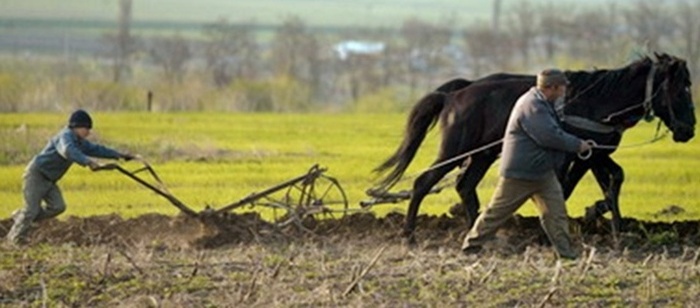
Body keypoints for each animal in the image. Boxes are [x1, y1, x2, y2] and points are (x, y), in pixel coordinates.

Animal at [372, 53, 696, 242]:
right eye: (680, 88)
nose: (689, 130)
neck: (598, 101)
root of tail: (454, 95)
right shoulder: (577, 154)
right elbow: (566, 188)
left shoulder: (595, 152)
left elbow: (613, 181)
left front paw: (612, 227)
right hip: (454, 150)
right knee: (423, 182)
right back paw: (409, 234)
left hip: (482, 154)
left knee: (465, 186)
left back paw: (480, 231)